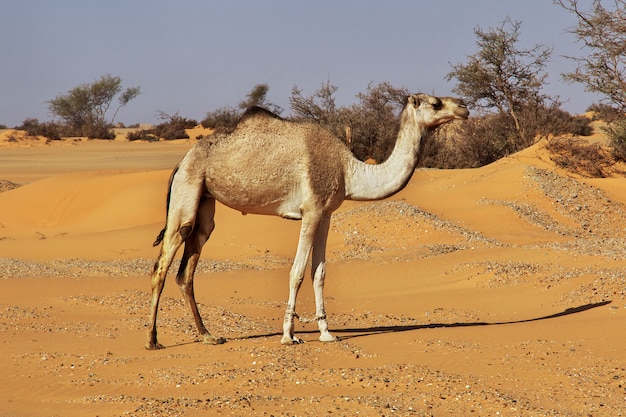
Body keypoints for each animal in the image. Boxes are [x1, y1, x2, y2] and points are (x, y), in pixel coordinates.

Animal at [146, 93, 466, 348]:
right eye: (435, 103)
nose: (463, 107)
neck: (348, 170)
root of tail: (181, 161)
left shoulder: (326, 213)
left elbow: (319, 273)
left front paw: (326, 333)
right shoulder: (311, 210)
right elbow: (297, 272)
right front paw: (289, 335)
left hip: (205, 201)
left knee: (187, 267)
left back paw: (208, 336)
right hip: (187, 190)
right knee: (163, 263)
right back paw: (153, 340)